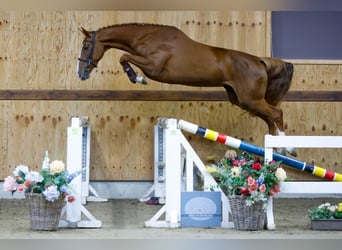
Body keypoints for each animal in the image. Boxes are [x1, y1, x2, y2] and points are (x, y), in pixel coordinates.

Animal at [76, 23, 296, 156]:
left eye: (86, 46)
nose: (81, 74)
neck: (148, 37)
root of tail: (259, 61)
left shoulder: (153, 67)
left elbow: (124, 58)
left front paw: (137, 78)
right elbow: (124, 58)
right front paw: (135, 77)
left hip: (251, 100)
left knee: (277, 113)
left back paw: (289, 149)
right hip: (243, 100)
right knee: (270, 119)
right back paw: (278, 150)